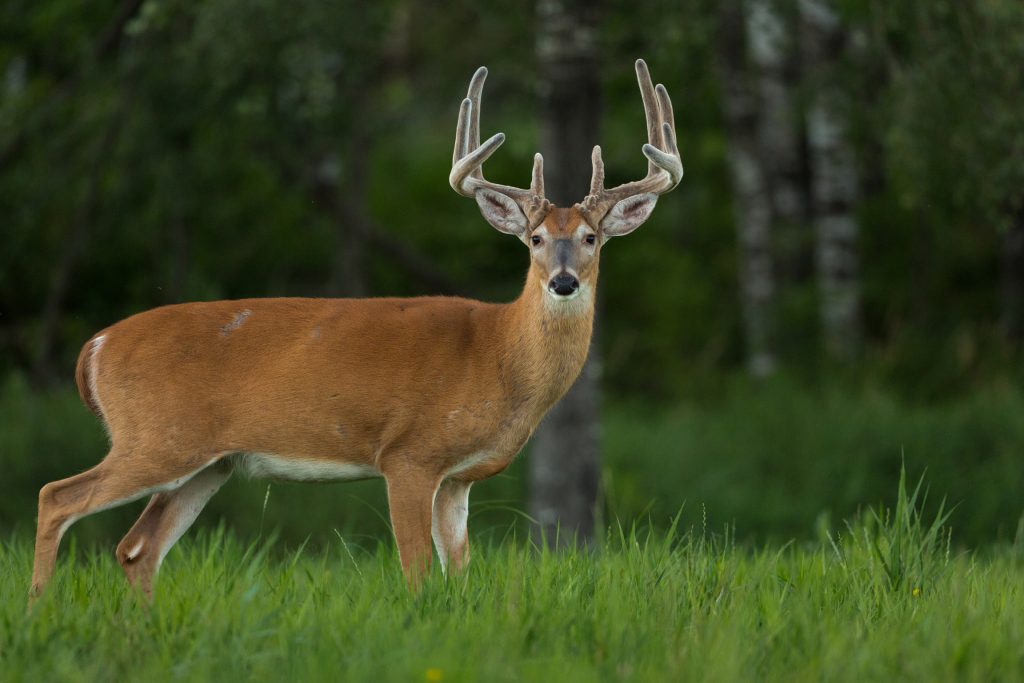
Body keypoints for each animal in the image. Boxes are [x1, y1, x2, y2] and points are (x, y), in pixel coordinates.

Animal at [28, 60, 684, 602]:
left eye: (592, 238)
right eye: (536, 239)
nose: (564, 282)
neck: (498, 354)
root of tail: (95, 347)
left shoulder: (458, 478)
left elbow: (459, 572)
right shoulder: (408, 452)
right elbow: (417, 573)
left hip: (206, 462)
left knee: (135, 548)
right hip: (156, 438)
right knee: (57, 497)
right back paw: (39, 612)